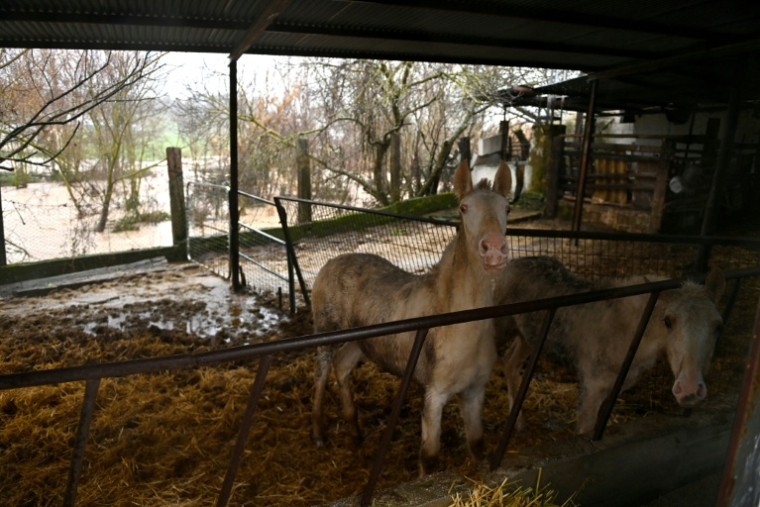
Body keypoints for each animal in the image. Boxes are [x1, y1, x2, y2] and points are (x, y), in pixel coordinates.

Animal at [311, 160, 512, 474]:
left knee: (341, 366)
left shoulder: (475, 392)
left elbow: (477, 443)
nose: (493, 250)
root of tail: (329, 263)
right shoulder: (433, 394)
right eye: (464, 208)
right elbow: (429, 456)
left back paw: (356, 433)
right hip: (326, 332)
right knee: (321, 374)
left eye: (507, 208)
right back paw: (319, 434)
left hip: (361, 342)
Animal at [495, 256, 725, 434]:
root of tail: (512, 263)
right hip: (502, 326)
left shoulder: (614, 389)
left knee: (511, 362)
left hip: (528, 336)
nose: (689, 390)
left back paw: (519, 423)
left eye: (718, 325)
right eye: (668, 321)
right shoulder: (591, 388)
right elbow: (585, 431)